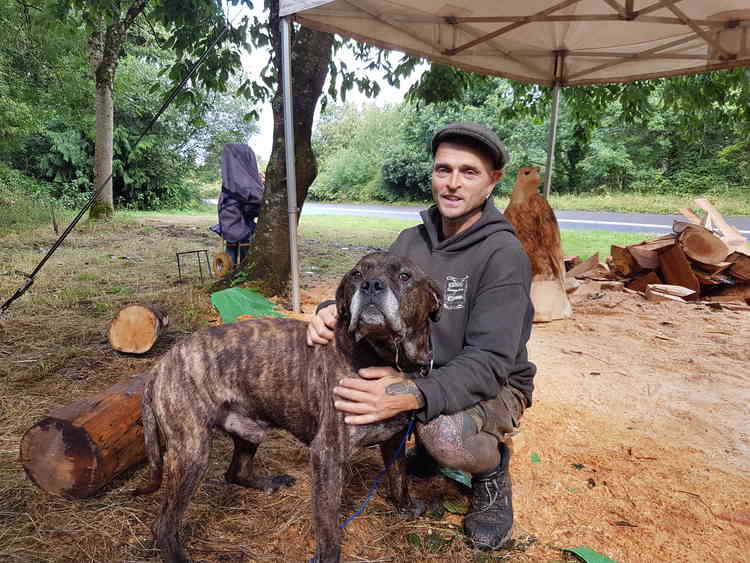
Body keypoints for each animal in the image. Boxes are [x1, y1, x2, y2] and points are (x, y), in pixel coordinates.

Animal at [137, 254, 440, 563]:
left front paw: (406, 507)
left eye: (404, 276)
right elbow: (328, 525)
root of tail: (161, 365)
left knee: (235, 472)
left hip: (248, 432)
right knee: (164, 524)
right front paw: (329, 555)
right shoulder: (327, 455)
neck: (385, 356)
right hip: (192, 452)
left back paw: (269, 482)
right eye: (356, 275)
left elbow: (398, 478)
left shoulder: (395, 440)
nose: (370, 285)